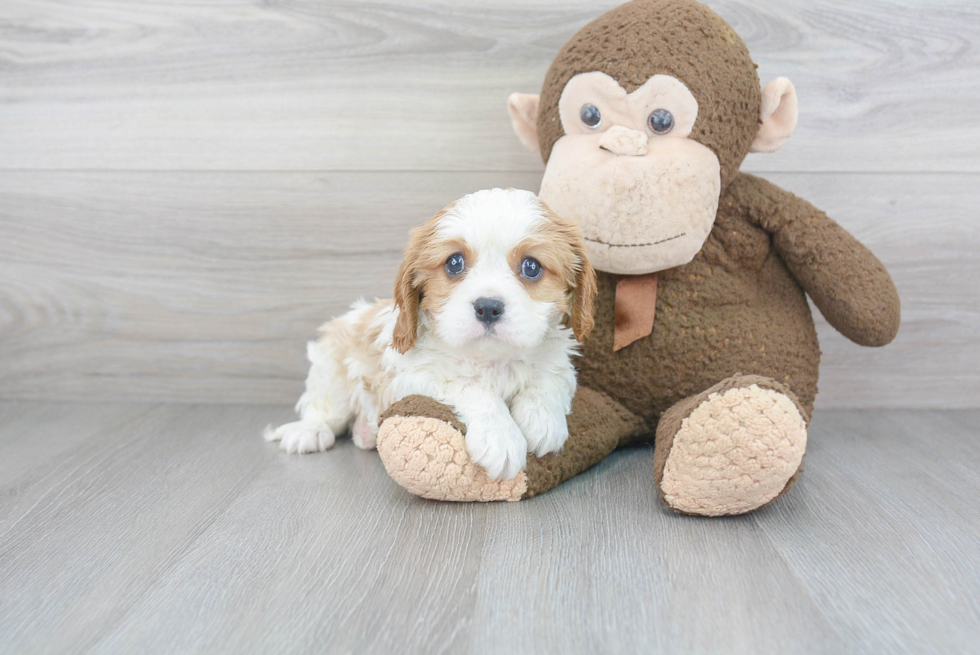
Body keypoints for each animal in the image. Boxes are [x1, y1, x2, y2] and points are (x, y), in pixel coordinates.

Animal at [264, 187, 596, 480]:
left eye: (531, 267)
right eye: (454, 263)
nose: (488, 307)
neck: (492, 359)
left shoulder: (560, 363)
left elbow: (551, 380)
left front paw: (542, 421)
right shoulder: (410, 376)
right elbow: (472, 388)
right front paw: (500, 438)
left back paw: (365, 433)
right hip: (332, 368)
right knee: (324, 410)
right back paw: (309, 432)